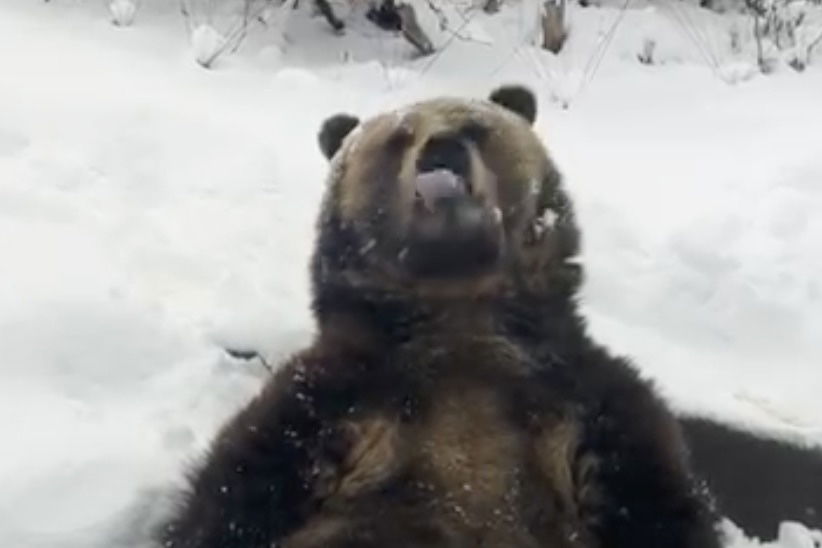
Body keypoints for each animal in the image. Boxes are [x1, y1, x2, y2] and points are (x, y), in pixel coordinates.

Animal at [154, 85, 720, 548]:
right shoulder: (335, 400)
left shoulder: (584, 402)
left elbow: (655, 503)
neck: (460, 318)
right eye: (399, 137)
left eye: (476, 126)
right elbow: (233, 498)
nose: (442, 150)